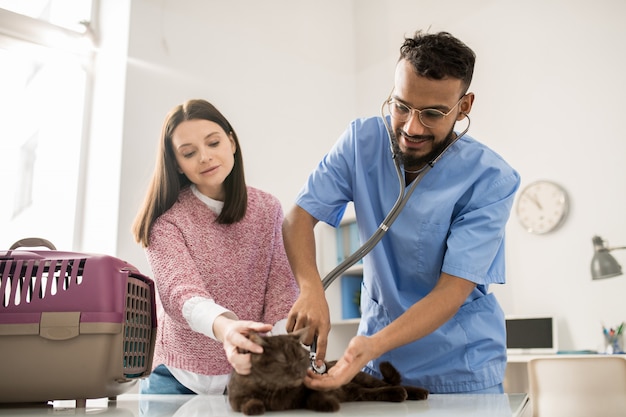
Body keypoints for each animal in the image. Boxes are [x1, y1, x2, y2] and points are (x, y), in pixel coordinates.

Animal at [228, 328, 428, 412]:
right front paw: (254, 407)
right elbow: (246, 402)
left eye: (300, 358)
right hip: (359, 393)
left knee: (387, 384)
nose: (299, 372)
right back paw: (399, 394)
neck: (277, 390)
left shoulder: (310, 390)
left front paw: (329, 405)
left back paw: (418, 392)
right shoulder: (236, 397)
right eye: (283, 360)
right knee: (376, 391)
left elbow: (315, 396)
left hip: (365, 379)